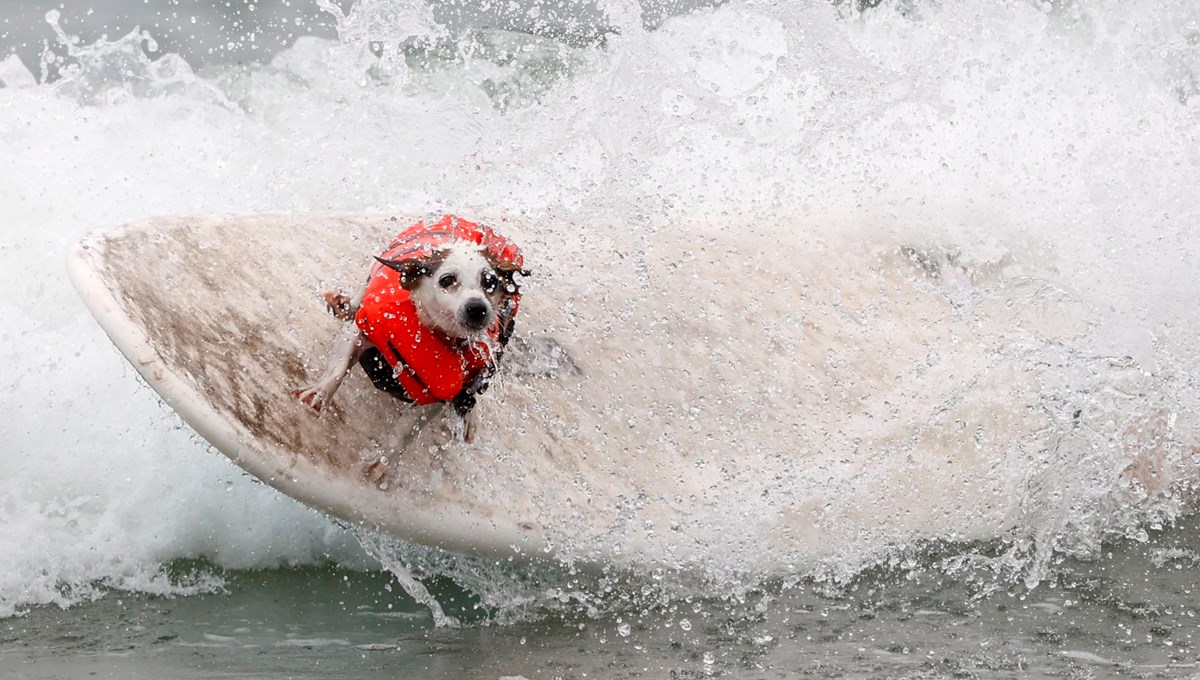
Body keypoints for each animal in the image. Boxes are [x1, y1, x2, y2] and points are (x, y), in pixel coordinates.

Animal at [291, 215, 525, 443]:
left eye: (490, 281)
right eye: (447, 279)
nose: (477, 308)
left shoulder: (438, 394)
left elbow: (403, 435)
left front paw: (381, 457)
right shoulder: (362, 328)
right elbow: (339, 365)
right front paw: (320, 392)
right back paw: (344, 305)